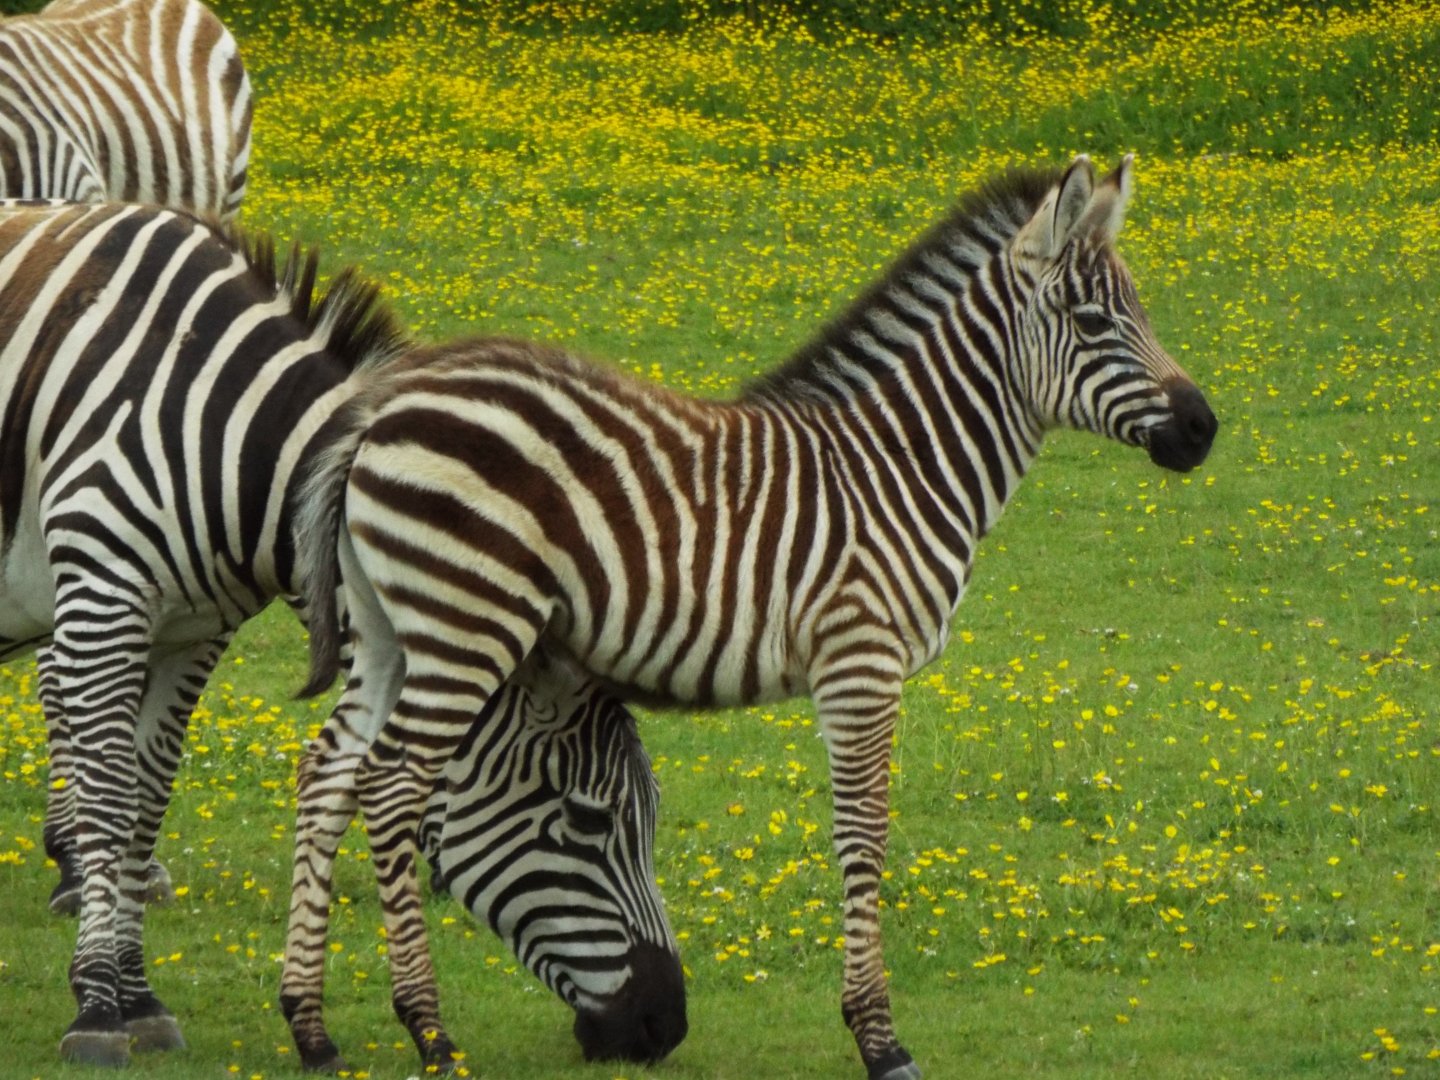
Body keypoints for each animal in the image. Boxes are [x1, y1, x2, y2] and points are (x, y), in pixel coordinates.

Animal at [0, 200, 683, 1068]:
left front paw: (140, 997)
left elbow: (148, 800)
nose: (666, 1023)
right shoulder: (102, 599)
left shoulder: (190, 632)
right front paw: (94, 1007)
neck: (229, 429)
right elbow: (110, 797)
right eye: (590, 819)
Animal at [290, 154, 1219, 1078]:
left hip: (388, 632)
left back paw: (310, 1027)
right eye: (1093, 321)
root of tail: (381, 409)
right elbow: (863, 836)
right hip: (466, 627)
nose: (1203, 428)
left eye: (1138, 313)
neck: (901, 467)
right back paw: (428, 1031)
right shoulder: (861, 662)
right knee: (393, 786)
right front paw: (879, 1039)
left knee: (331, 771)